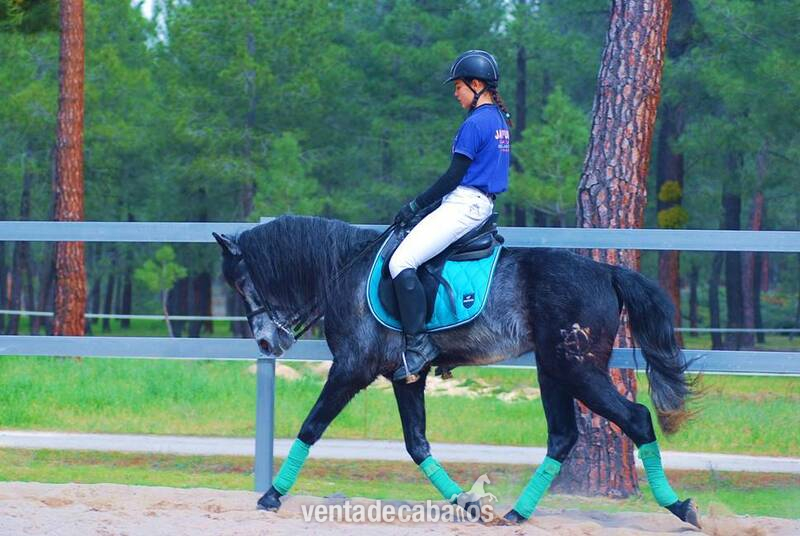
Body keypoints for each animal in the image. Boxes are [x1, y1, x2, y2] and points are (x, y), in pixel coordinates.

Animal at [213, 214, 700, 528]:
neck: (345, 271)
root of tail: (605, 270)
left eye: (242, 282)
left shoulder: (352, 368)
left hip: (577, 369)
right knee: (562, 437)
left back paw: (681, 507)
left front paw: (271, 495)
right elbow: (417, 444)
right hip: (554, 371)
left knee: (636, 419)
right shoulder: (403, 376)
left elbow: (311, 426)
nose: (266, 344)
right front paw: (467, 503)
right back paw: (516, 514)